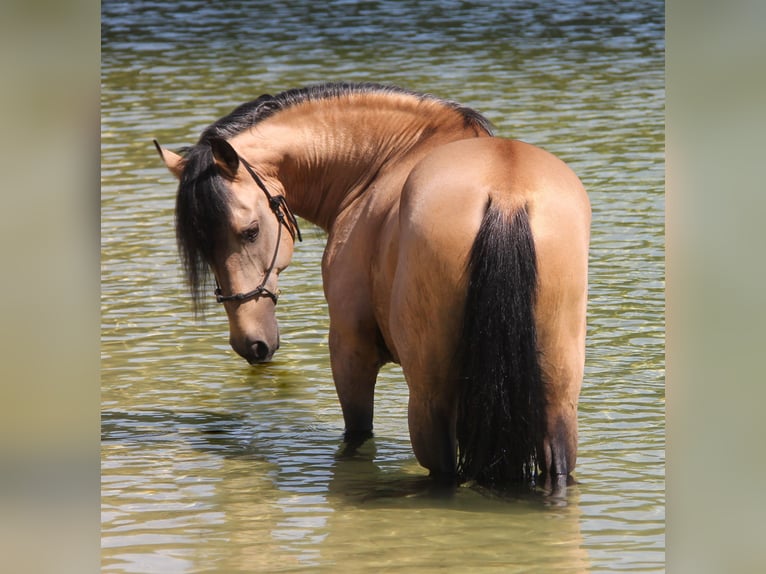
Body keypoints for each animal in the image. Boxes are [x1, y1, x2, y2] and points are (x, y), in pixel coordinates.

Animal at [155, 82, 590, 489]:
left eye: (249, 231)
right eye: (202, 245)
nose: (251, 343)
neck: (385, 160)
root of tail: (505, 193)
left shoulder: (350, 351)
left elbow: (358, 436)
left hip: (429, 400)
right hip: (558, 401)